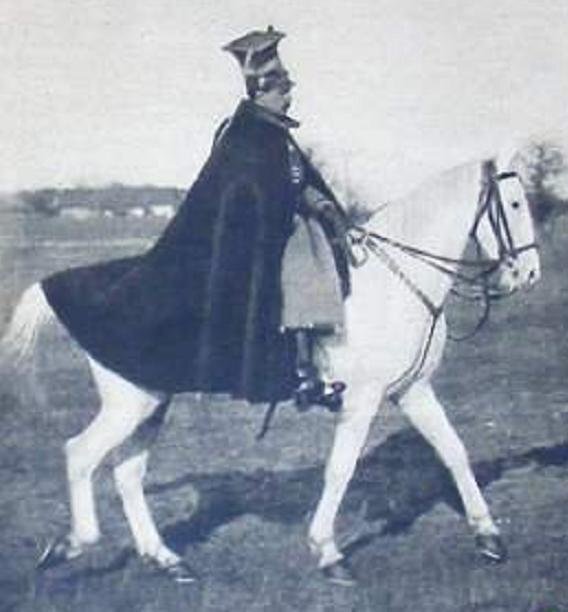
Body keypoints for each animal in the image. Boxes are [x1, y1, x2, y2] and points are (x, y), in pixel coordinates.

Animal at [0, 152, 540, 586]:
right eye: (514, 205)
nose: (529, 275)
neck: (393, 283)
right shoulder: (363, 399)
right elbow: (340, 470)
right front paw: (327, 552)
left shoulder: (413, 390)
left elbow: (454, 451)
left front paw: (488, 536)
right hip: (129, 402)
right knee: (79, 454)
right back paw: (72, 544)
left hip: (152, 401)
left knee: (126, 472)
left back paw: (166, 559)